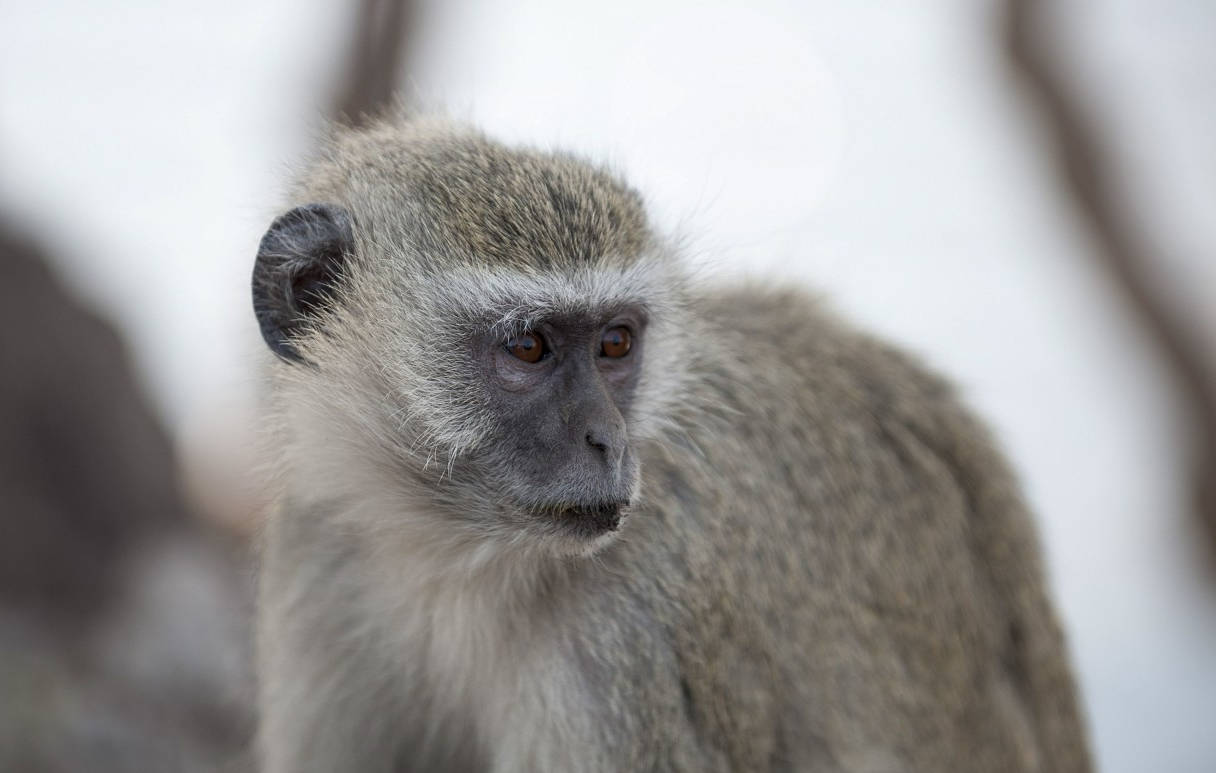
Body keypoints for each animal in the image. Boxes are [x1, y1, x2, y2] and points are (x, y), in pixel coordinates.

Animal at [249, 116, 1094, 773]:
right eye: (529, 346)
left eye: (616, 343)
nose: (607, 439)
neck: (453, 557)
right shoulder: (326, 556)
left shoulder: (635, 636)